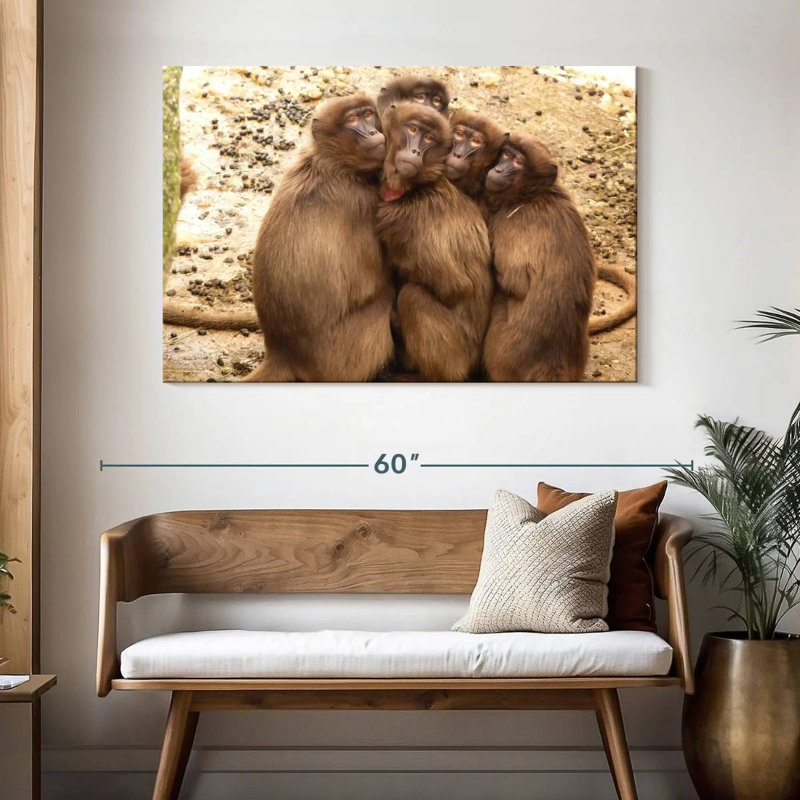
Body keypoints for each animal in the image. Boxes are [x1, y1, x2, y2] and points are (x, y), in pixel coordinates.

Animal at [244, 94, 394, 381]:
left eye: (368, 115)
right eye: (353, 120)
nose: (373, 132)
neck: (330, 165)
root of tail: (283, 352)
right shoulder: (362, 203)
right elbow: (376, 282)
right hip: (340, 359)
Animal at [376, 102, 492, 382]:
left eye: (428, 138)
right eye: (413, 129)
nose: (415, 150)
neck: (416, 187)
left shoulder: (407, 221)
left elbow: (455, 288)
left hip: (455, 358)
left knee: (413, 297)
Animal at [481, 134, 596, 382]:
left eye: (517, 162)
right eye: (506, 154)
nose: (499, 169)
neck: (533, 195)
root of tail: (550, 364)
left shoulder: (512, 222)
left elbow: (513, 282)